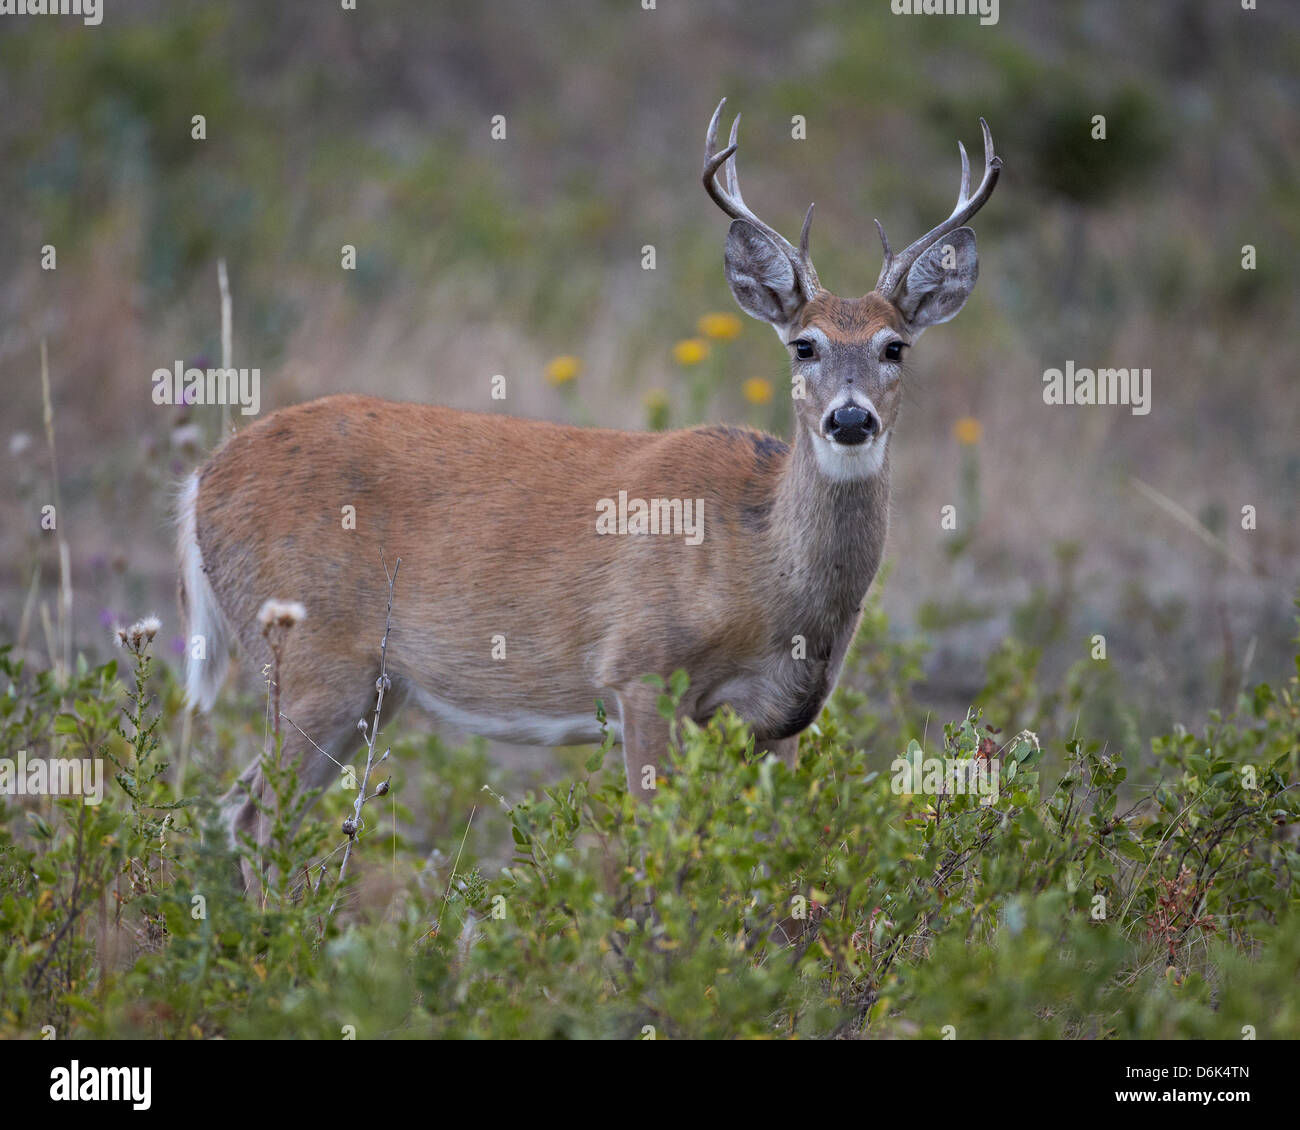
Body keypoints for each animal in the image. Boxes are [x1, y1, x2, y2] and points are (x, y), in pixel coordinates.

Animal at [178, 101, 998, 884]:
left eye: (896, 347)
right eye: (805, 344)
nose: (850, 418)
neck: (761, 565)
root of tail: (200, 481)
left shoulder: (780, 717)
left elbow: (773, 860)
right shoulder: (640, 668)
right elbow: (658, 850)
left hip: (371, 688)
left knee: (236, 809)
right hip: (310, 654)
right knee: (254, 817)